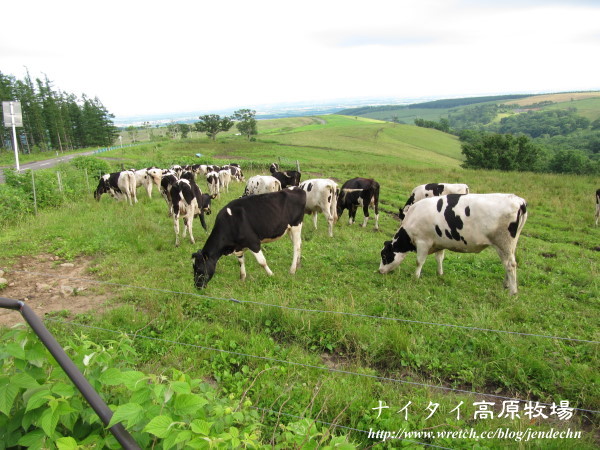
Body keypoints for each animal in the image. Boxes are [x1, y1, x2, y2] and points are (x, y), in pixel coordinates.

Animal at [380, 192, 528, 296]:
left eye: (385, 256)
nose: (380, 271)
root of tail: (518, 200)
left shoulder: (423, 242)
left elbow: (419, 261)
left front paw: (415, 277)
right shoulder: (439, 242)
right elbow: (439, 258)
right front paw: (440, 273)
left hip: (503, 243)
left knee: (510, 265)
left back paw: (512, 292)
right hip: (507, 246)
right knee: (507, 264)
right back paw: (506, 285)